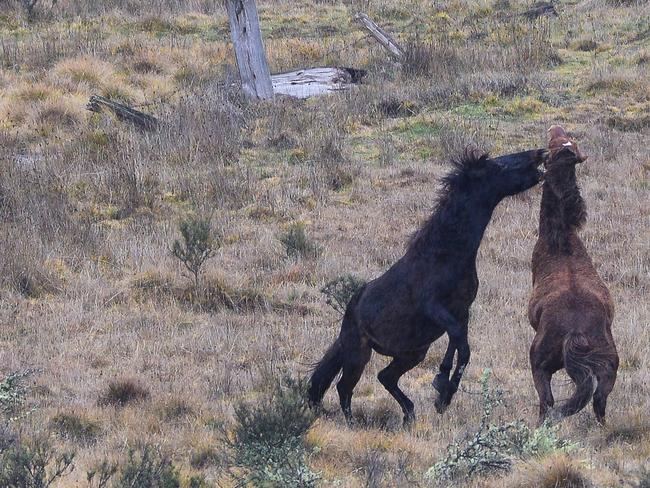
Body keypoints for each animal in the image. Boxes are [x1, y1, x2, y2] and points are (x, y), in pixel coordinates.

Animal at [306, 147, 544, 426]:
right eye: (499, 167)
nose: (539, 154)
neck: (446, 255)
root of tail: (350, 311)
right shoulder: (435, 308)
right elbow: (462, 346)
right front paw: (442, 388)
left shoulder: (461, 311)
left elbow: (460, 347)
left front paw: (443, 394)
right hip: (358, 353)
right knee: (345, 386)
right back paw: (354, 423)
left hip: (413, 353)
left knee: (385, 377)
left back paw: (409, 415)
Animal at [528, 125, 616, 424]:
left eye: (553, 144)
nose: (554, 127)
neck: (562, 243)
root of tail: (575, 331)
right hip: (610, 362)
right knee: (599, 399)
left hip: (538, 362)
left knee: (547, 402)